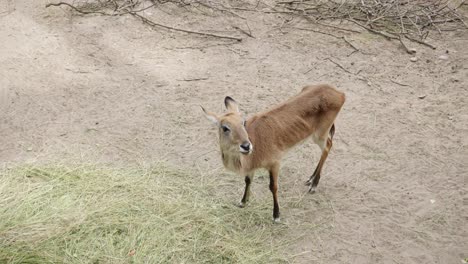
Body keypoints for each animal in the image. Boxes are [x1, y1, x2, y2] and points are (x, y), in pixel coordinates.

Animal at [200, 83, 344, 222]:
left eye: (243, 122)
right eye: (225, 127)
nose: (246, 146)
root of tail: (340, 93)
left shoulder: (275, 163)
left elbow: (273, 187)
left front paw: (276, 215)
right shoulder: (251, 169)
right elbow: (247, 180)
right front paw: (243, 202)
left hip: (320, 134)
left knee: (328, 146)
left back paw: (313, 185)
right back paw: (310, 179)